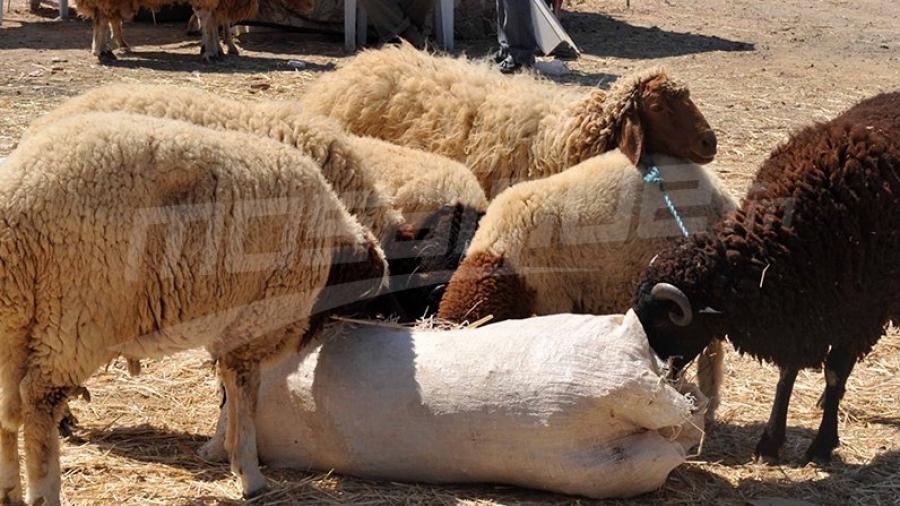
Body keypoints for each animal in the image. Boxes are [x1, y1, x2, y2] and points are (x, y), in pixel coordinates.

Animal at [0, 112, 386, 504]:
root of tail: (16, 195)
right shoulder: (254, 324)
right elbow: (246, 396)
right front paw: (249, 473)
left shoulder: (231, 329)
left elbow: (230, 390)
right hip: (75, 316)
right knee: (39, 401)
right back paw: (44, 492)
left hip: (15, 318)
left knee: (7, 411)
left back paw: (9, 490)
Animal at [632, 92, 900, 466]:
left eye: (662, 322)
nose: (657, 375)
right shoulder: (798, 312)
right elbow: (787, 375)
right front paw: (770, 442)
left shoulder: (859, 317)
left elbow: (833, 374)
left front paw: (822, 444)